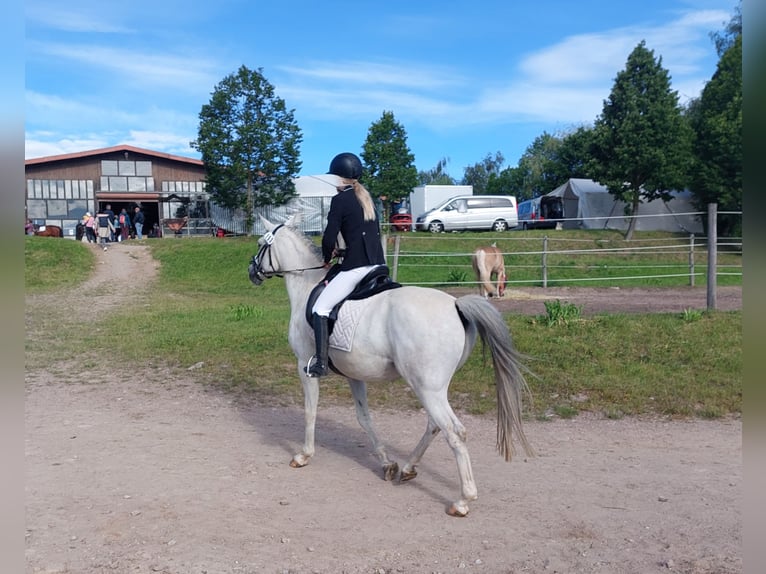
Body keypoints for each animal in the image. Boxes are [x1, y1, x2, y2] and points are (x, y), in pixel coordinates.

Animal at [252, 215, 536, 516]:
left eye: (260, 244)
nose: (252, 271)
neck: (307, 283)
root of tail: (456, 305)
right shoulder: (354, 374)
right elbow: (364, 418)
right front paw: (387, 463)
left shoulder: (304, 366)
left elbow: (310, 411)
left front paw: (304, 455)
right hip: (434, 388)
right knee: (434, 425)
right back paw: (408, 468)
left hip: (426, 388)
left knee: (454, 432)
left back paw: (462, 501)